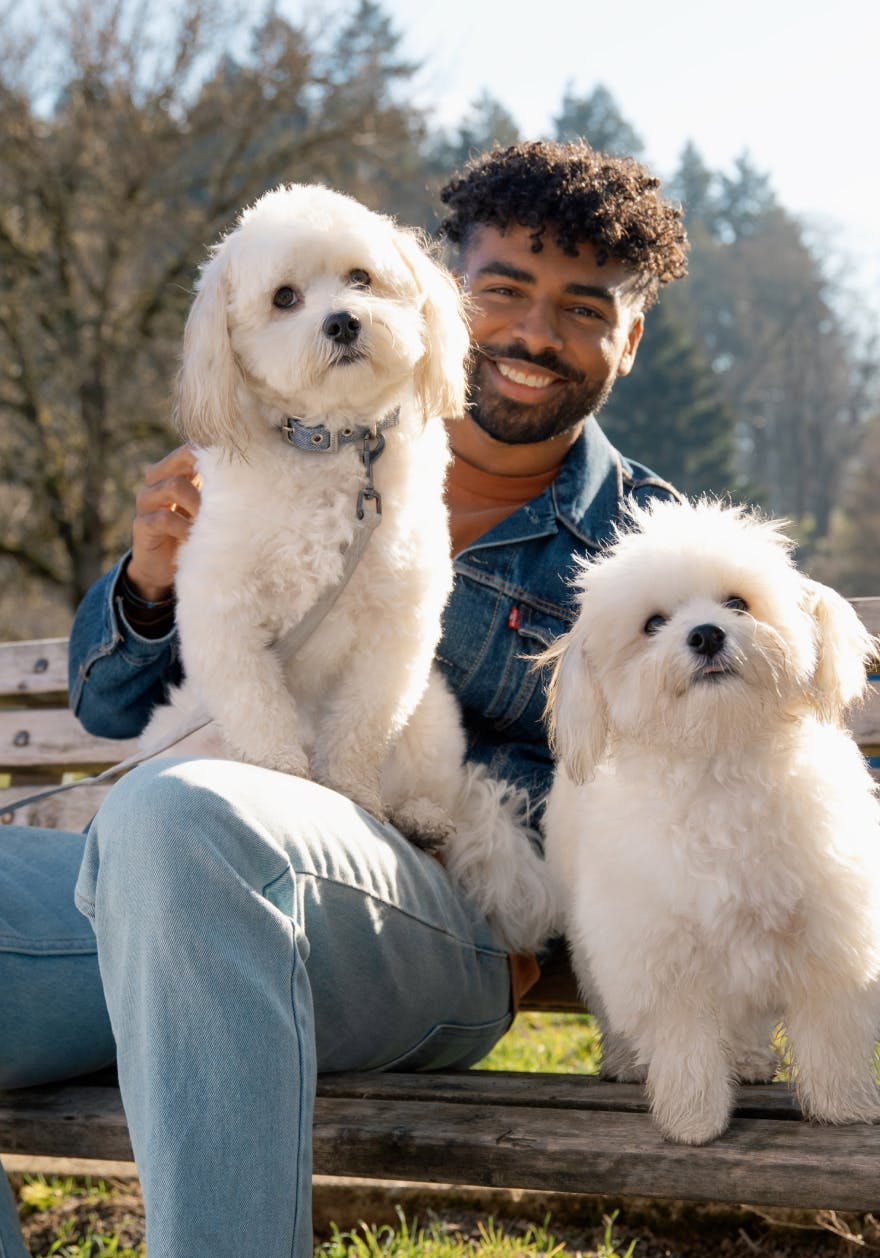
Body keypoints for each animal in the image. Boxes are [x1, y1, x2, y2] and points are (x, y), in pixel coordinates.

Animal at [140, 183, 553, 951]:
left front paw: (351, 796)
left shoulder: (396, 628)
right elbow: (261, 714)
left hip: (430, 720)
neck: (333, 445)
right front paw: (285, 777)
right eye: (284, 298)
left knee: (432, 787)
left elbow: (361, 726)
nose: (342, 322)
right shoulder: (224, 616)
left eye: (361, 278)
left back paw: (422, 818)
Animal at [543, 498, 880, 1142]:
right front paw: (693, 1120)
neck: (720, 759)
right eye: (653, 624)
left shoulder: (827, 930)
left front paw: (845, 1106)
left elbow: (831, 1030)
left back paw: (747, 1059)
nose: (705, 633)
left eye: (737, 603)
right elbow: (685, 1045)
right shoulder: (658, 948)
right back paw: (629, 1062)